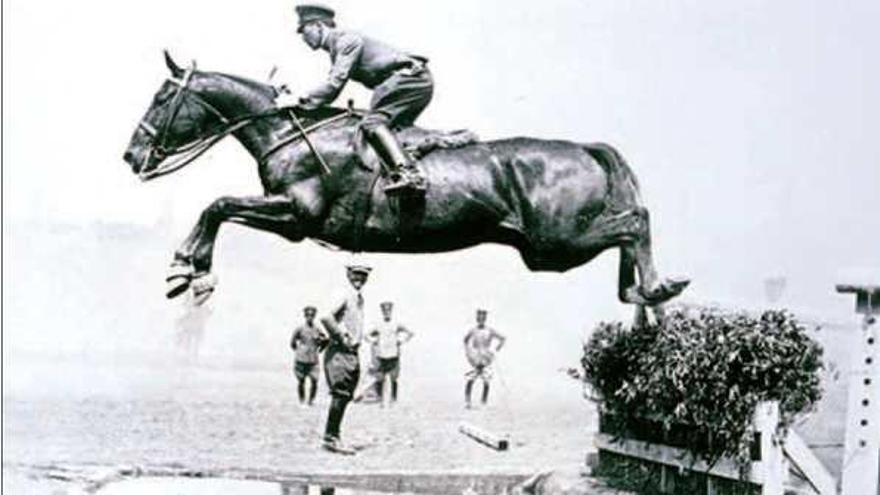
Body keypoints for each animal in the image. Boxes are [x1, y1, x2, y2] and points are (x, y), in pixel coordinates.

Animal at [120, 53, 692, 318]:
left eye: (161, 98)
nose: (131, 156)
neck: (288, 131)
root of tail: (586, 148)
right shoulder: (289, 214)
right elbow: (217, 207)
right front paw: (189, 270)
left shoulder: (296, 214)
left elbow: (217, 205)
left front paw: (187, 270)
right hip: (551, 248)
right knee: (627, 234)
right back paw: (644, 293)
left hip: (557, 242)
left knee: (635, 221)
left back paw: (657, 287)